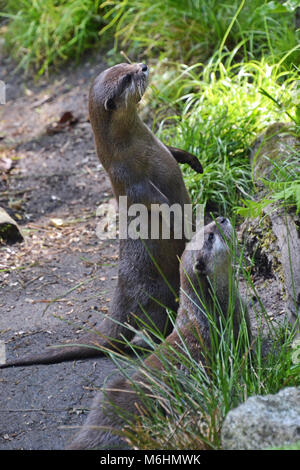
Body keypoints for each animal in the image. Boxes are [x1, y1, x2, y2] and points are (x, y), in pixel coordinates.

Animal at [0, 62, 202, 370]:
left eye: (129, 65)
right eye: (128, 77)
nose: (143, 65)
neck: (140, 146)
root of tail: (121, 296)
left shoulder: (161, 148)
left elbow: (174, 151)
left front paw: (193, 161)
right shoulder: (132, 179)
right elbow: (158, 204)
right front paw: (184, 223)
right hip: (159, 294)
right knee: (147, 329)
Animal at [67, 218, 251, 450]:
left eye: (206, 226)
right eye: (210, 235)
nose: (221, 219)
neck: (211, 310)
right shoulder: (235, 329)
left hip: (109, 390)